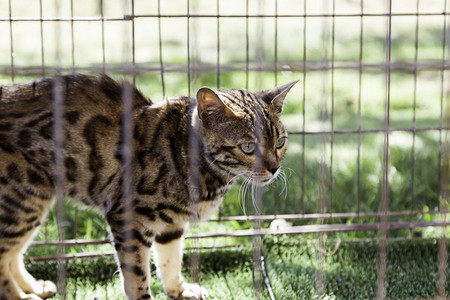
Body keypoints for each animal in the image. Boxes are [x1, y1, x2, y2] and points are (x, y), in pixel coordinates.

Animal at [0, 74, 298, 300]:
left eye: (280, 142)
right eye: (248, 147)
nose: (274, 168)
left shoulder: (171, 224)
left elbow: (169, 259)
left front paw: (179, 290)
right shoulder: (127, 217)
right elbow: (137, 275)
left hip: (32, 203)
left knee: (13, 253)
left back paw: (33, 287)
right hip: (22, 201)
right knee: (4, 256)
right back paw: (19, 296)